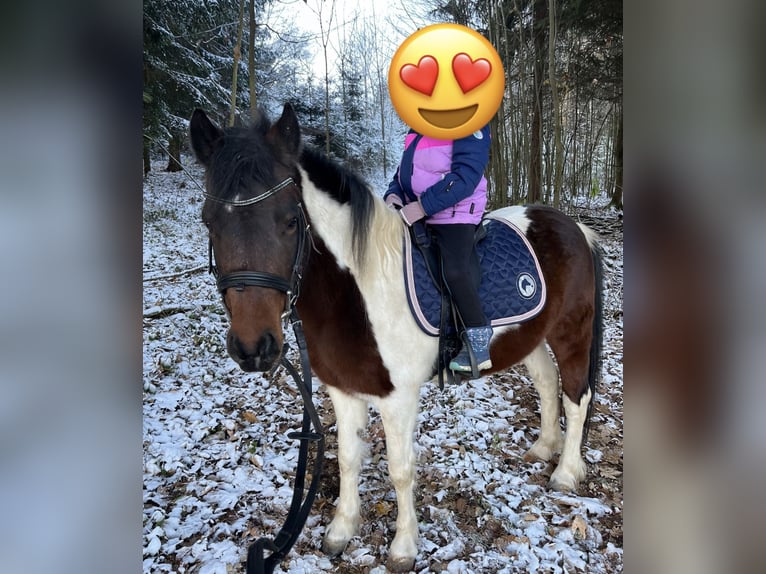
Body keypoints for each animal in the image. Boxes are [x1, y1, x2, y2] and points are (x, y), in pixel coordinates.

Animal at [189, 103, 603, 572]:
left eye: (291, 221)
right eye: (209, 222)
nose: (253, 347)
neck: (361, 291)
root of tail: (576, 227)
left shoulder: (398, 397)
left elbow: (400, 469)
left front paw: (404, 546)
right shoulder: (344, 390)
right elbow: (348, 458)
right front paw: (340, 531)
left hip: (572, 331)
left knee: (577, 396)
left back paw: (565, 472)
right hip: (531, 336)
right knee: (548, 384)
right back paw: (543, 448)